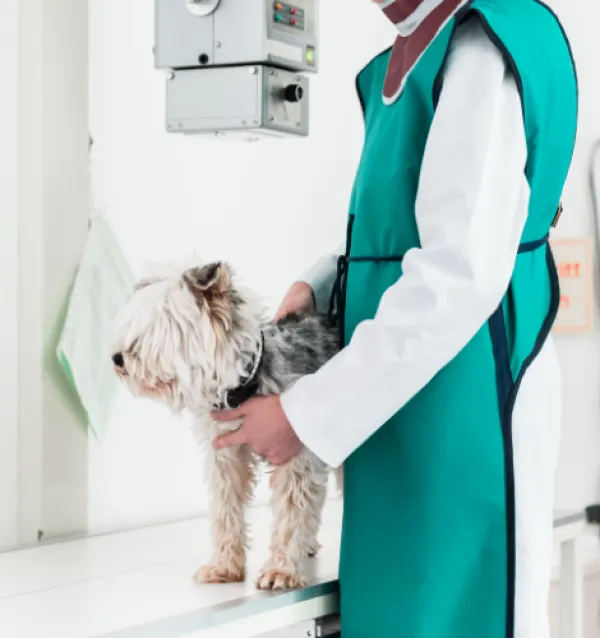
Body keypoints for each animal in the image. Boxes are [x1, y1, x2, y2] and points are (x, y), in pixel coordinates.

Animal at [111, 262, 338, 592]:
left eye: (163, 324)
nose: (117, 358)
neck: (245, 385)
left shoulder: (294, 454)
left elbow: (291, 513)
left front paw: (281, 569)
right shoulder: (226, 456)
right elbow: (225, 509)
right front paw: (224, 565)